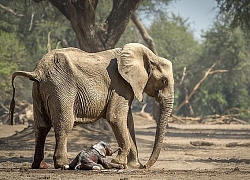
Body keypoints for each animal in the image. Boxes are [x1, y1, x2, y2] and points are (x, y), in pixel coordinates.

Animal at [9, 43, 174, 169]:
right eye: (164, 81)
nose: (146, 166)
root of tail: (37, 71)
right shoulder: (120, 85)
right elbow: (115, 118)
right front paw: (119, 163)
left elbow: (128, 122)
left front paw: (133, 166)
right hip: (60, 87)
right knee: (64, 124)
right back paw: (62, 164)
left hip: (38, 90)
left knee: (41, 126)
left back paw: (40, 165)